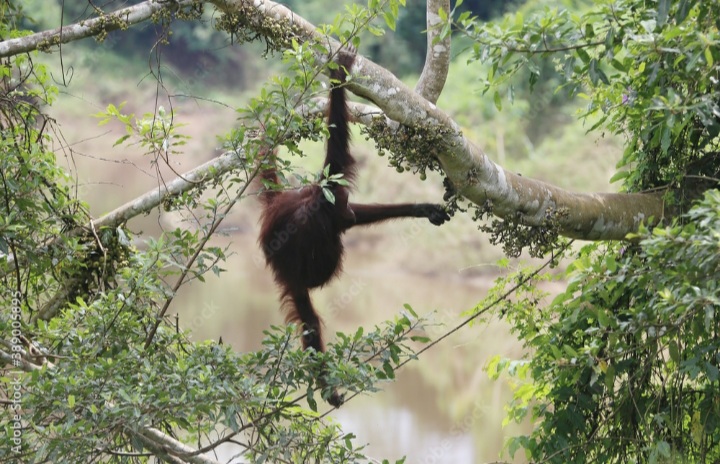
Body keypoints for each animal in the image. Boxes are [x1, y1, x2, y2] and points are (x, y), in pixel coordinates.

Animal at [258, 47, 450, 407]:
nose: (345, 211)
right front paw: (339, 75)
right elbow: (336, 142)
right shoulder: (322, 212)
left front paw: (423, 209)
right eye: (342, 205)